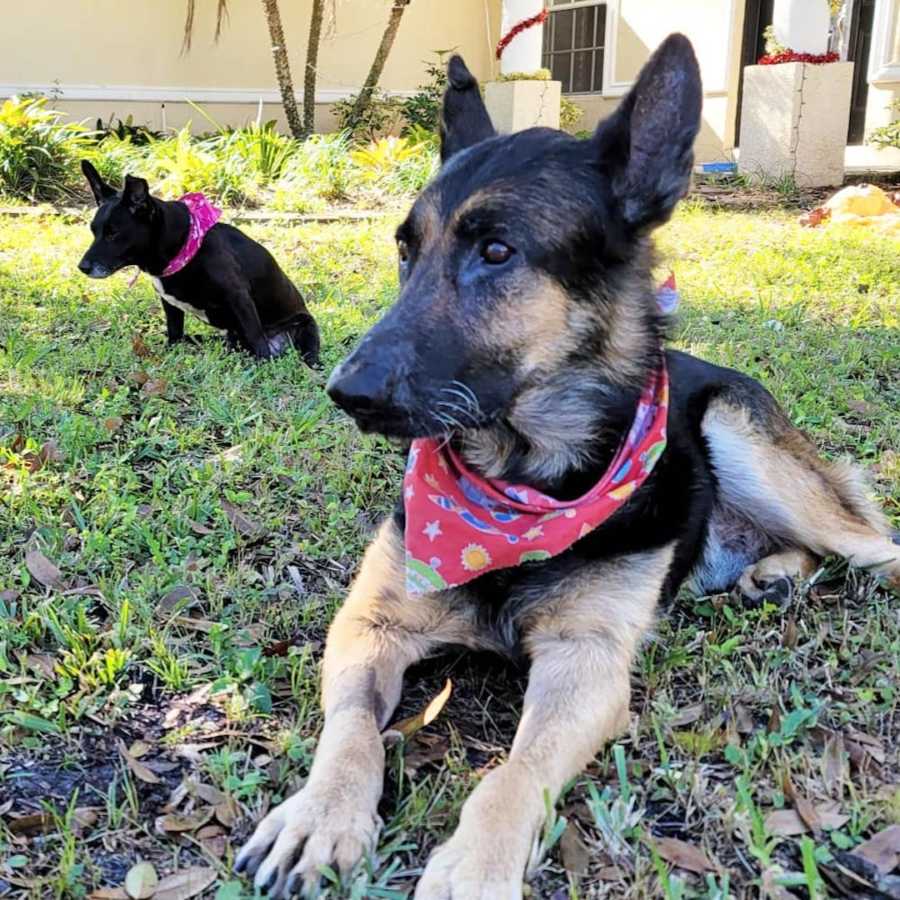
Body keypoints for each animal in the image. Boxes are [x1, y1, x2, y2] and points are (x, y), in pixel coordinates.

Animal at [78, 162, 320, 362]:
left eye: (113, 234)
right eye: (93, 231)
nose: (82, 267)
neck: (185, 244)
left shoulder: (239, 297)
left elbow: (256, 337)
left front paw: (263, 363)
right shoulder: (170, 306)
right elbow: (175, 333)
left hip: (306, 330)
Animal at [237, 33, 900, 892]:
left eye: (497, 251)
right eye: (404, 251)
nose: (343, 391)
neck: (520, 483)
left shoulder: (586, 665)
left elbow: (514, 773)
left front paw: (476, 865)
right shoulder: (369, 625)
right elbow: (350, 730)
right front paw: (319, 815)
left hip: (737, 431)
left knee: (873, 546)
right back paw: (772, 572)